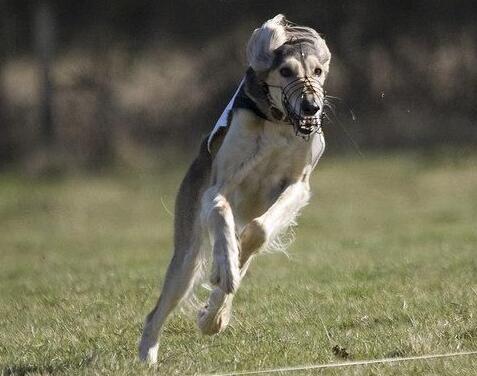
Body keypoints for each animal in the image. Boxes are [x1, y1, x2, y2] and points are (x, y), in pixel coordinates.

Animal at [139, 14, 330, 364]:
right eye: (286, 71)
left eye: (318, 71)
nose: (311, 107)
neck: (277, 122)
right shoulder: (217, 187)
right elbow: (220, 212)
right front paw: (224, 265)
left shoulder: (297, 185)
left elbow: (258, 231)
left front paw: (222, 286)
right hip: (186, 256)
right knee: (157, 310)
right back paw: (149, 355)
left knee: (243, 256)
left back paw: (214, 314)